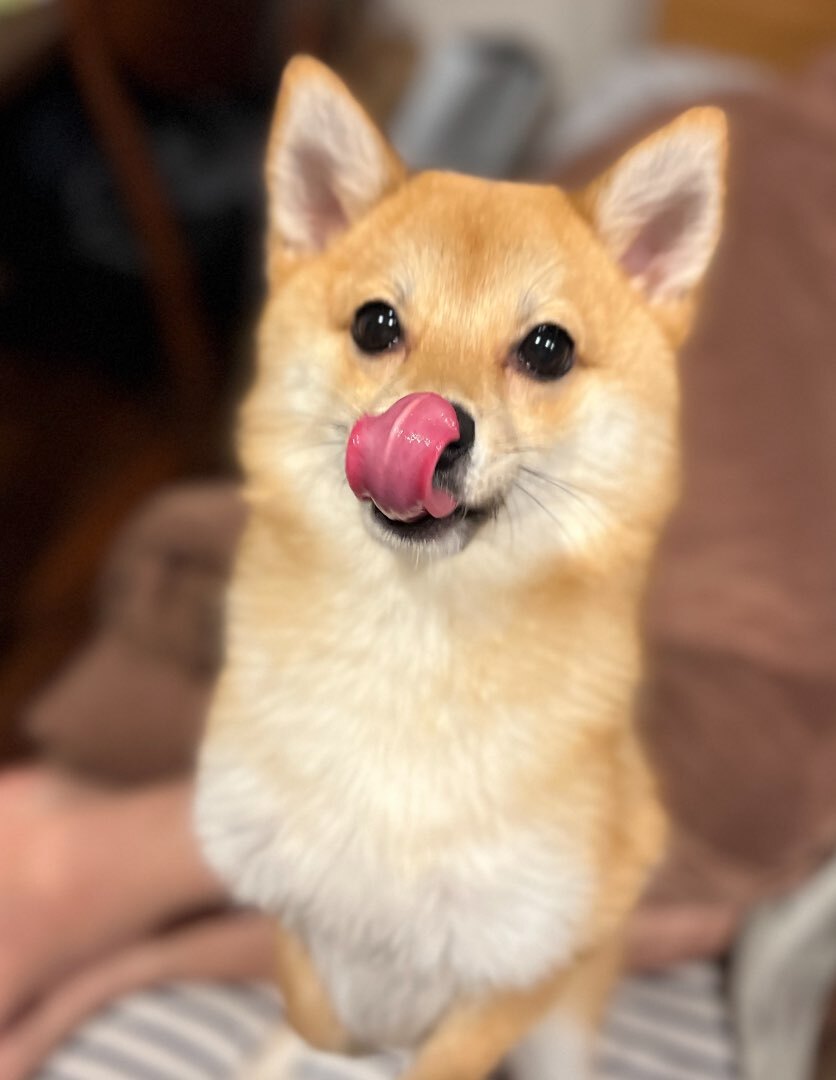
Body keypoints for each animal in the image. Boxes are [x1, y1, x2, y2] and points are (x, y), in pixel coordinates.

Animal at [194, 55, 727, 1080]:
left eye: (548, 349)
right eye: (376, 325)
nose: (434, 427)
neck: (413, 654)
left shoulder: (533, 952)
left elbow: (444, 1056)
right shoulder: (282, 886)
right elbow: (314, 1005)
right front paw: (341, 1039)